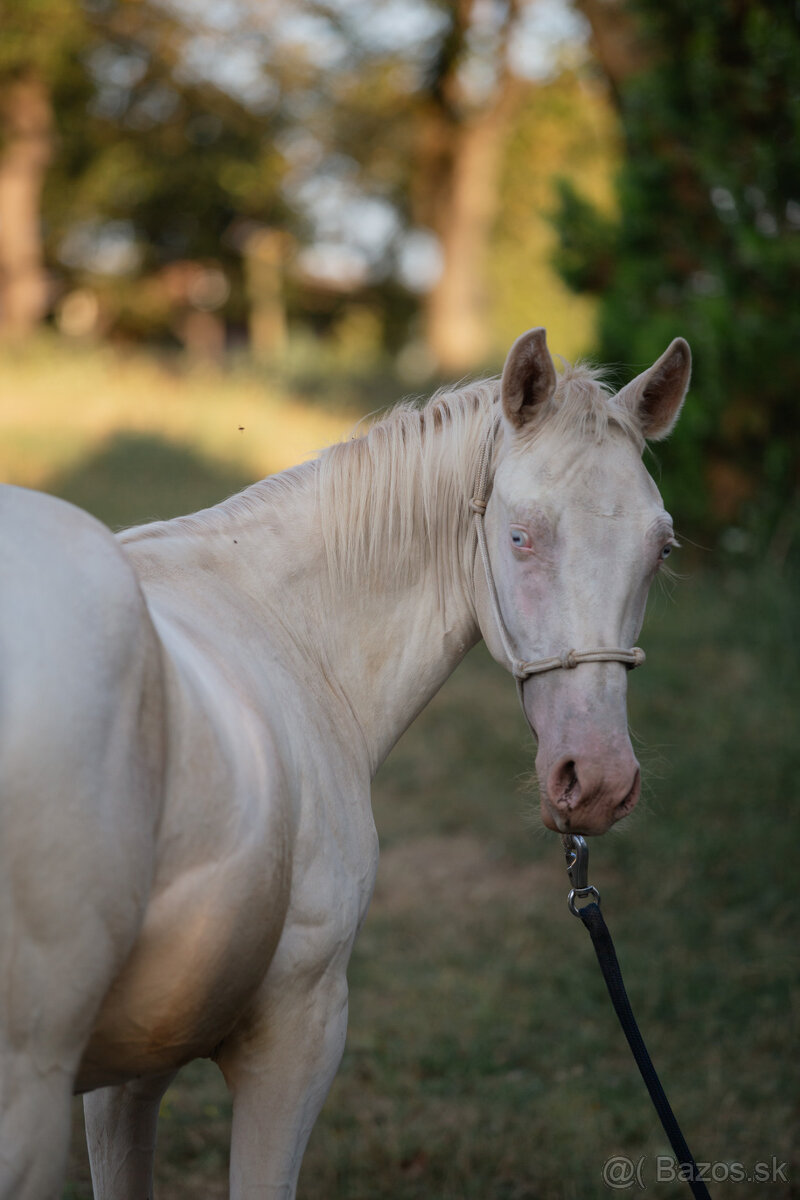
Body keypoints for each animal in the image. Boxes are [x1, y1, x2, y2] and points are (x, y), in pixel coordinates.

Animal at [0, 324, 690, 1195]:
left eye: (659, 549)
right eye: (519, 535)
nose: (596, 779)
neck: (283, 626)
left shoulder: (131, 1071)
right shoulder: (298, 1032)